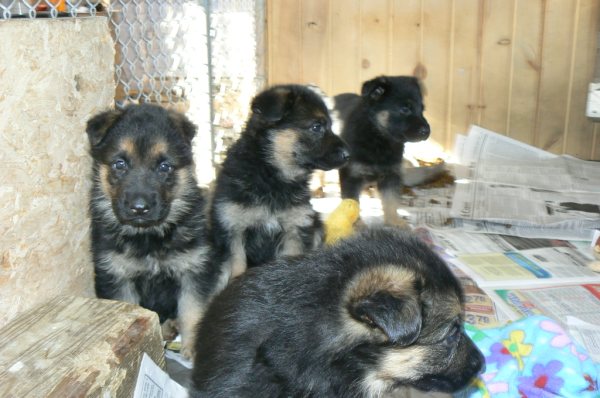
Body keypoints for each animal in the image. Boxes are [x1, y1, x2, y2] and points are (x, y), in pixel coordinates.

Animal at [85, 104, 219, 360]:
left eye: (164, 167)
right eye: (120, 164)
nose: (139, 207)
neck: (149, 237)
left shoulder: (193, 272)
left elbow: (192, 312)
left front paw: (193, 348)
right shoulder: (119, 278)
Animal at [209, 83, 350, 278]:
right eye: (316, 127)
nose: (349, 155)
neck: (272, 177)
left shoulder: (295, 231)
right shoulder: (233, 230)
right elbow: (237, 268)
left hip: (316, 227)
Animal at [338, 76, 432, 227]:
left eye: (422, 109)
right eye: (405, 108)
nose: (427, 132)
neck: (379, 137)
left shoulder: (391, 175)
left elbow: (391, 200)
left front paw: (394, 220)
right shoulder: (351, 176)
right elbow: (352, 202)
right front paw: (356, 224)